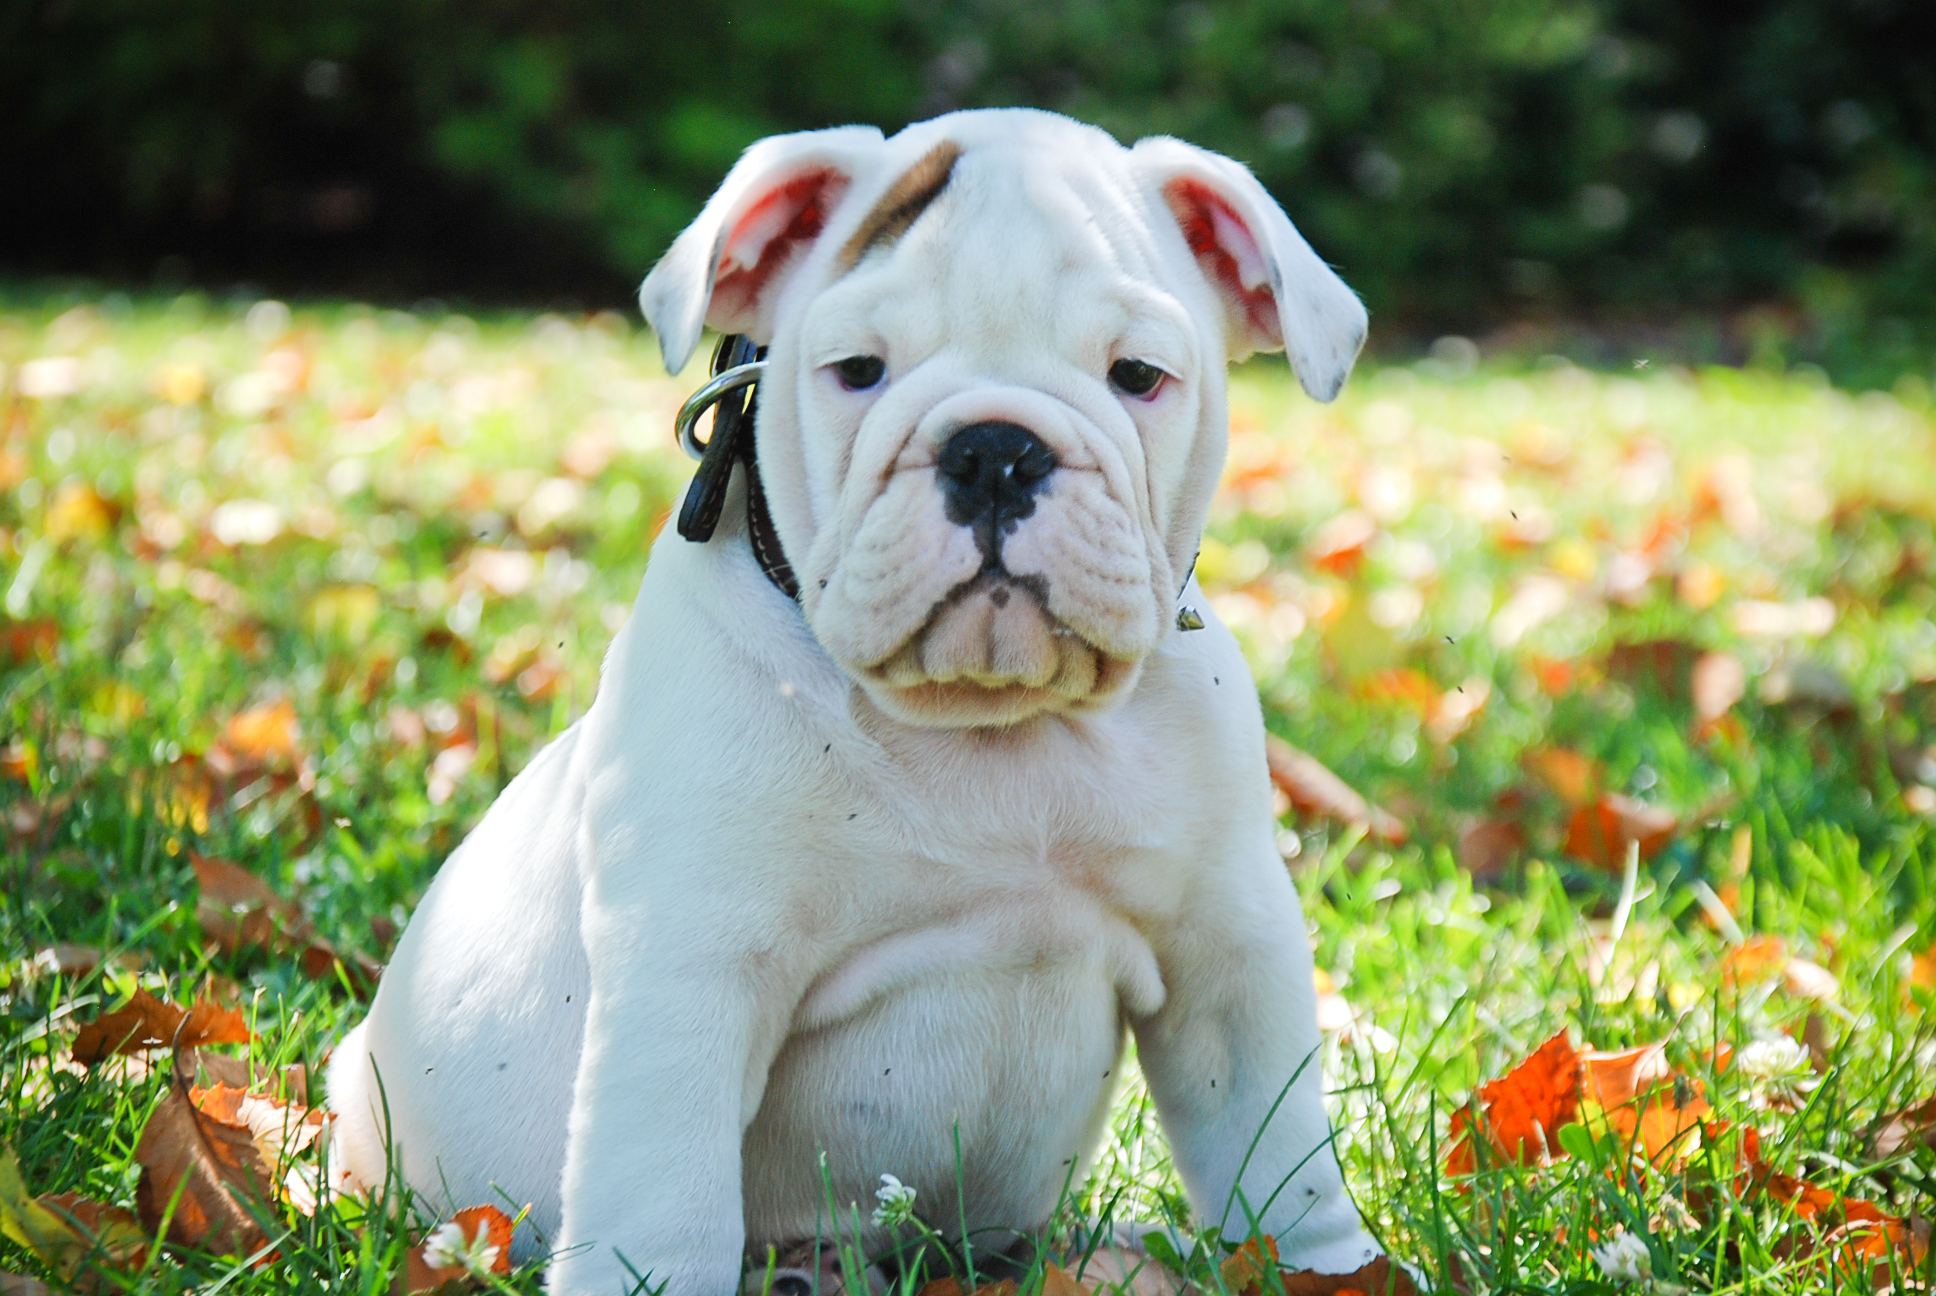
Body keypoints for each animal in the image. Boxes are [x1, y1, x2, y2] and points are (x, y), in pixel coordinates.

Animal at [329, 106, 1378, 1286]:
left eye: (1139, 375)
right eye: (858, 370)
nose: (996, 450)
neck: (987, 722)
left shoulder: (1228, 951)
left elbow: (1278, 1153)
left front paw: (1335, 1269)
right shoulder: (692, 972)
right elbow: (665, 1192)